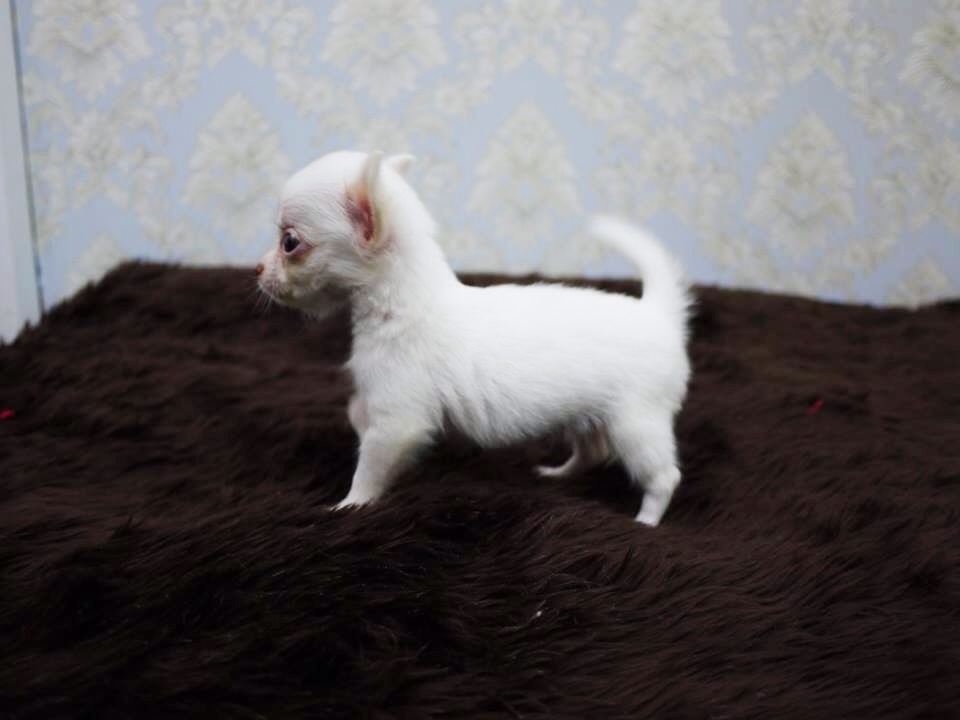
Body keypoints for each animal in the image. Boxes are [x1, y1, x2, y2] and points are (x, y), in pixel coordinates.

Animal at [257, 151, 691, 525]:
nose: (258, 269)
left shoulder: (398, 422)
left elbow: (369, 470)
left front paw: (349, 505)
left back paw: (646, 521)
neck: (402, 303)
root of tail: (657, 312)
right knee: (593, 450)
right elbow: (357, 417)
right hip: (588, 414)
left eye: (290, 242)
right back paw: (558, 474)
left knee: (664, 477)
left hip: (636, 423)